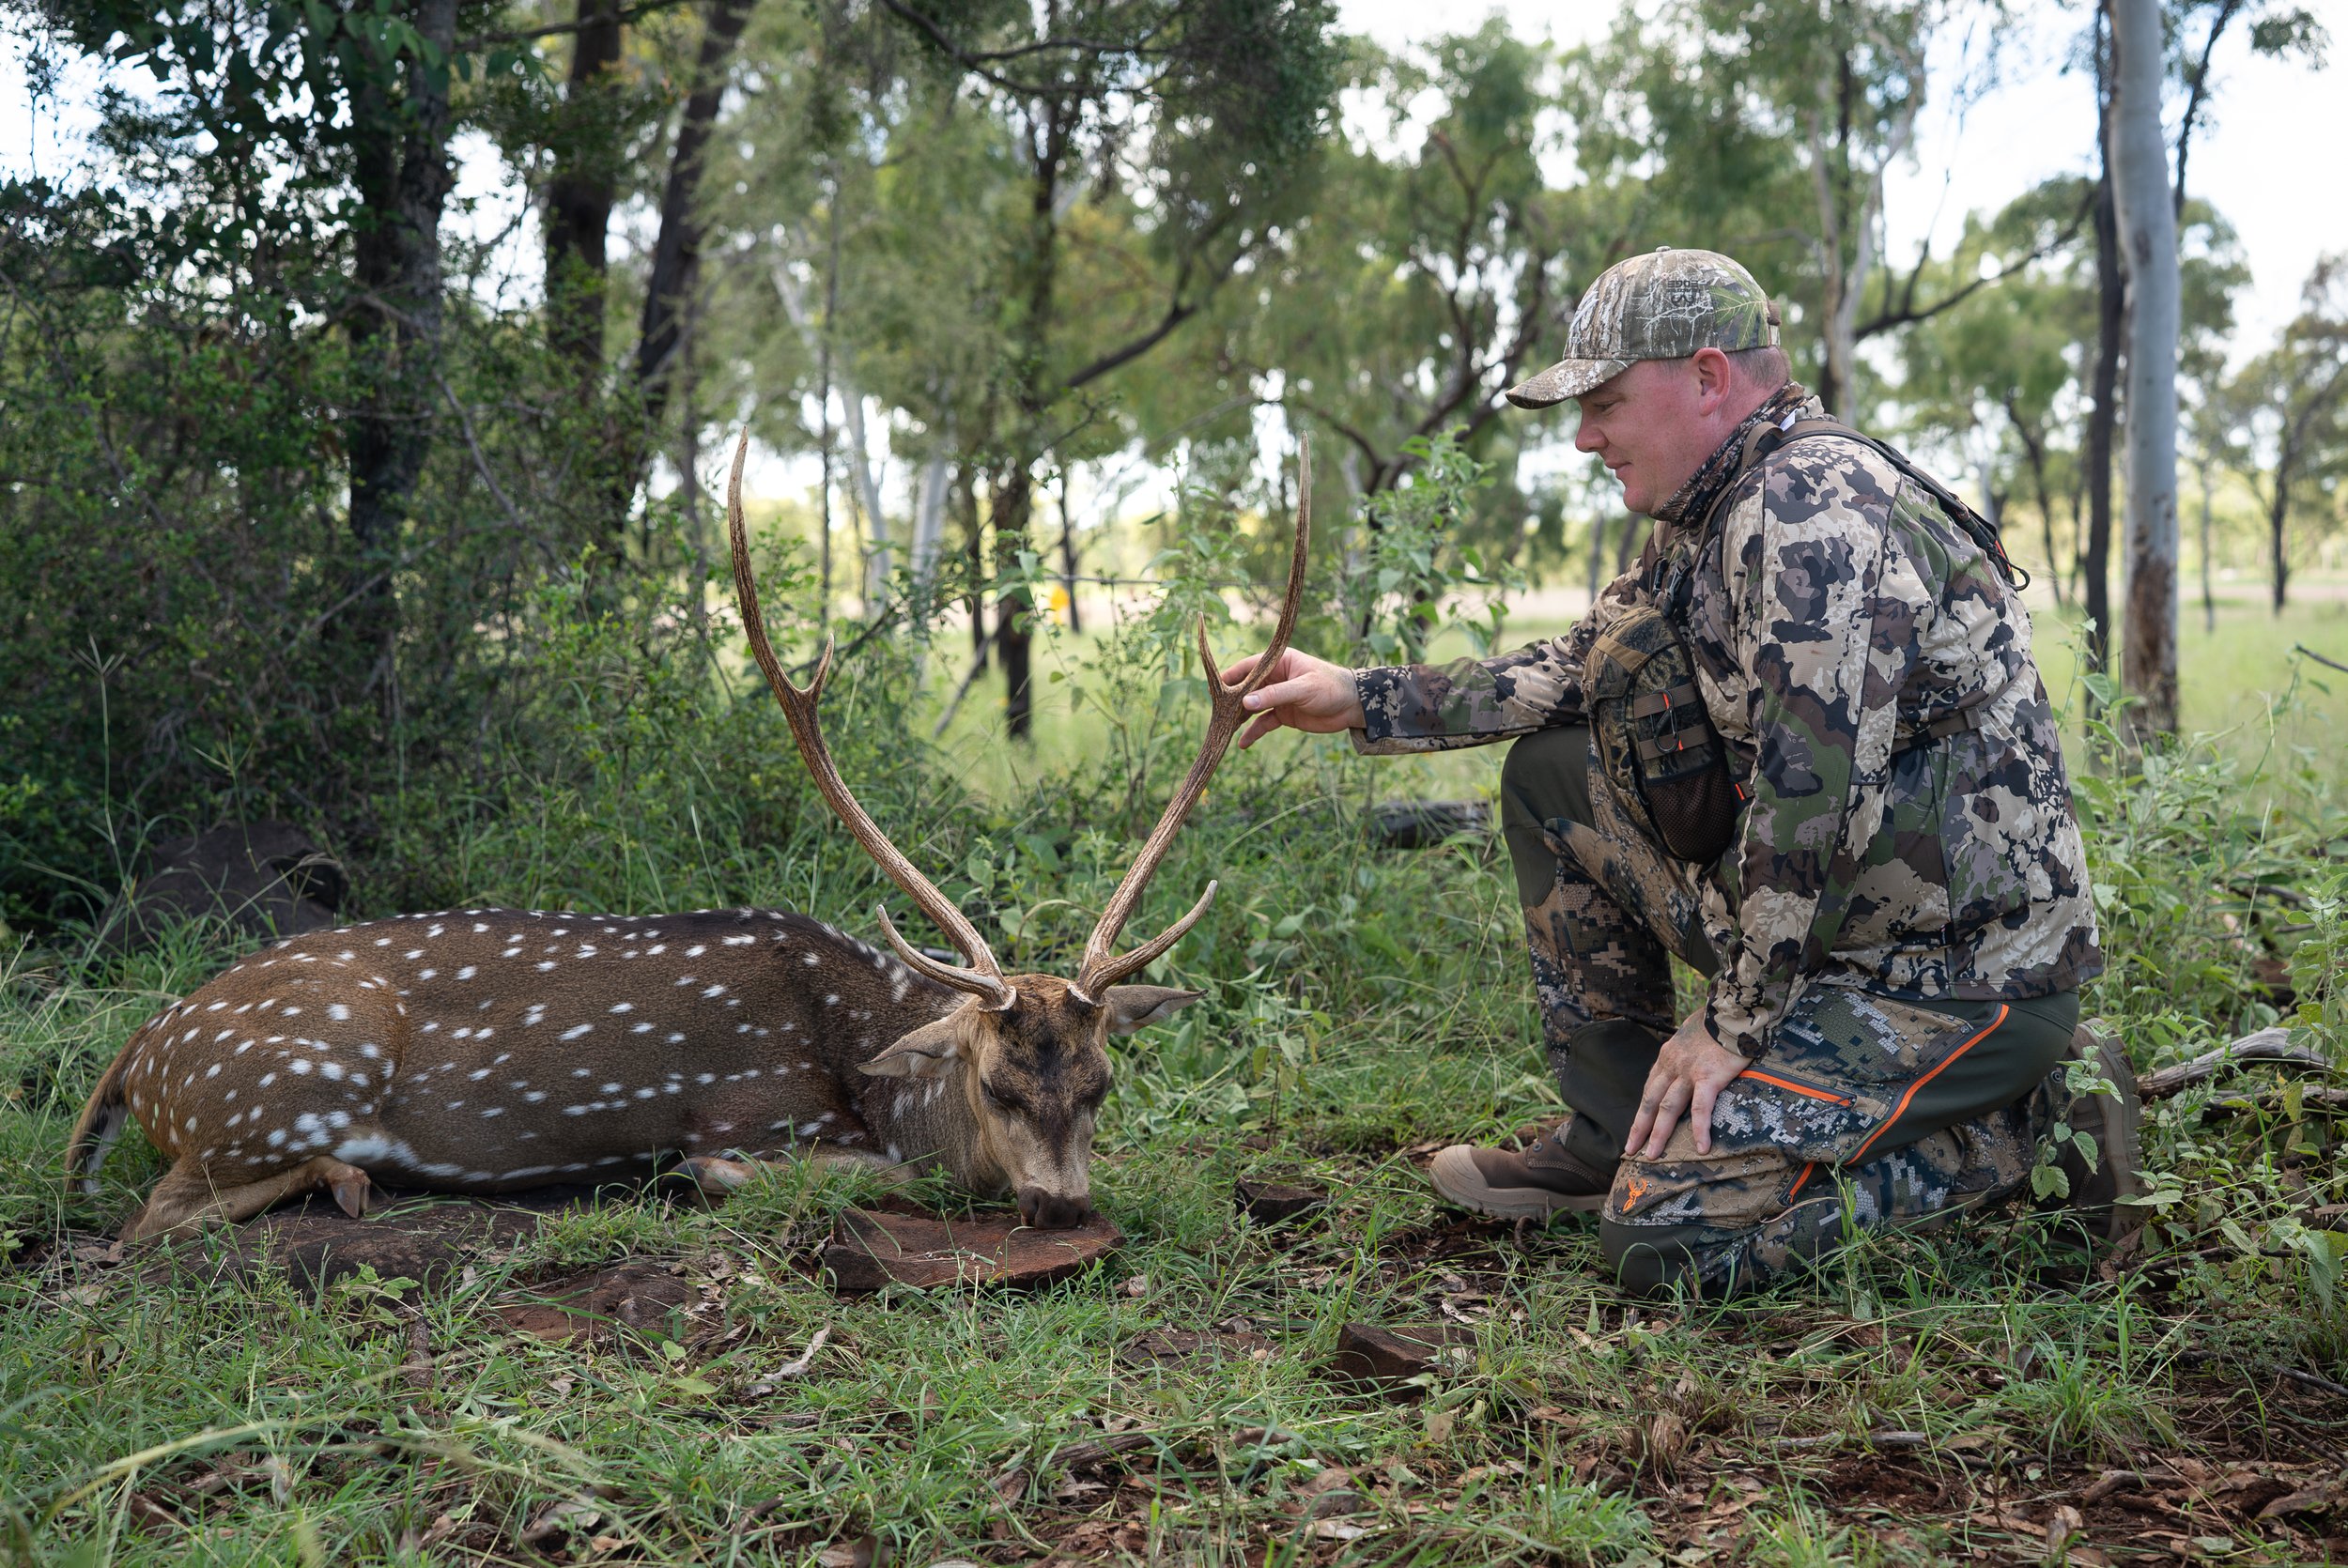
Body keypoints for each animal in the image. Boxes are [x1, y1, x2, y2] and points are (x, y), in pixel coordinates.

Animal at [67, 433, 1311, 1244]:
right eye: (999, 1084)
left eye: (1102, 1079)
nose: (1062, 1202)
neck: (872, 1062)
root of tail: (136, 1056)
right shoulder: (752, 1117)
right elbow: (820, 1173)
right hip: (296, 1072)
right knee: (149, 1215)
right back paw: (347, 1178)